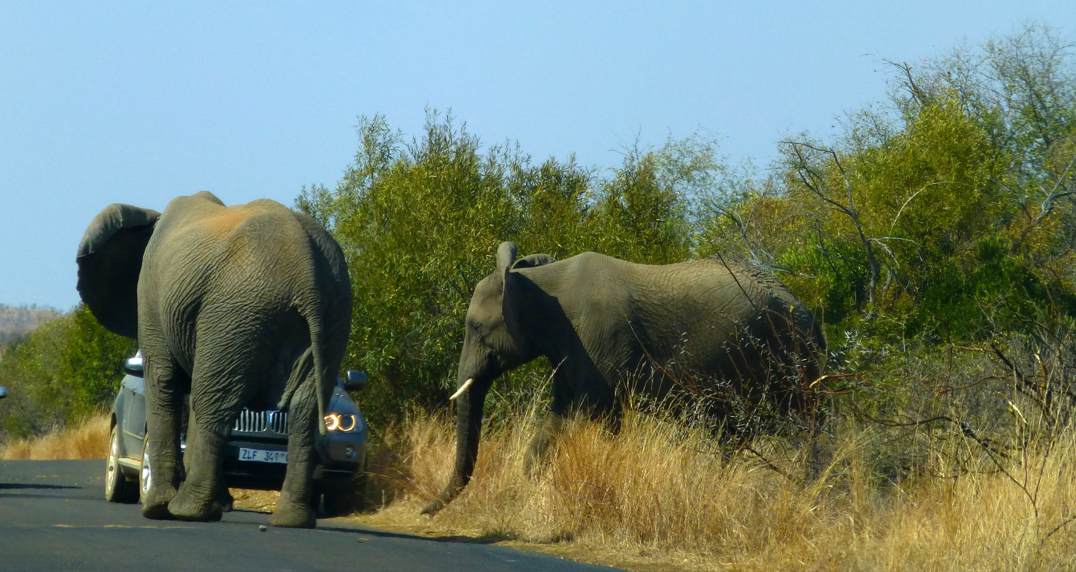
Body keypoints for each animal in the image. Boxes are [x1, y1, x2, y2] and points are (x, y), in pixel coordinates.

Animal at [76, 191, 351, 528]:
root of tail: (306, 269)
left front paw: (156, 508)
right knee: (303, 407)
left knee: (213, 403)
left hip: (236, 312)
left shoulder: (152, 295)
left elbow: (165, 380)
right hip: (331, 314)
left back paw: (187, 511)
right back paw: (291, 520)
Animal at [423, 241, 825, 514]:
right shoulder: (570, 346)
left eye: (476, 328)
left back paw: (809, 492)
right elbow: (559, 415)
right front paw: (532, 487)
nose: (424, 511)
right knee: (737, 433)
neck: (535, 281)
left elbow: (598, 413)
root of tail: (806, 310)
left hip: (787, 355)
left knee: (803, 427)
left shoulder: (598, 339)